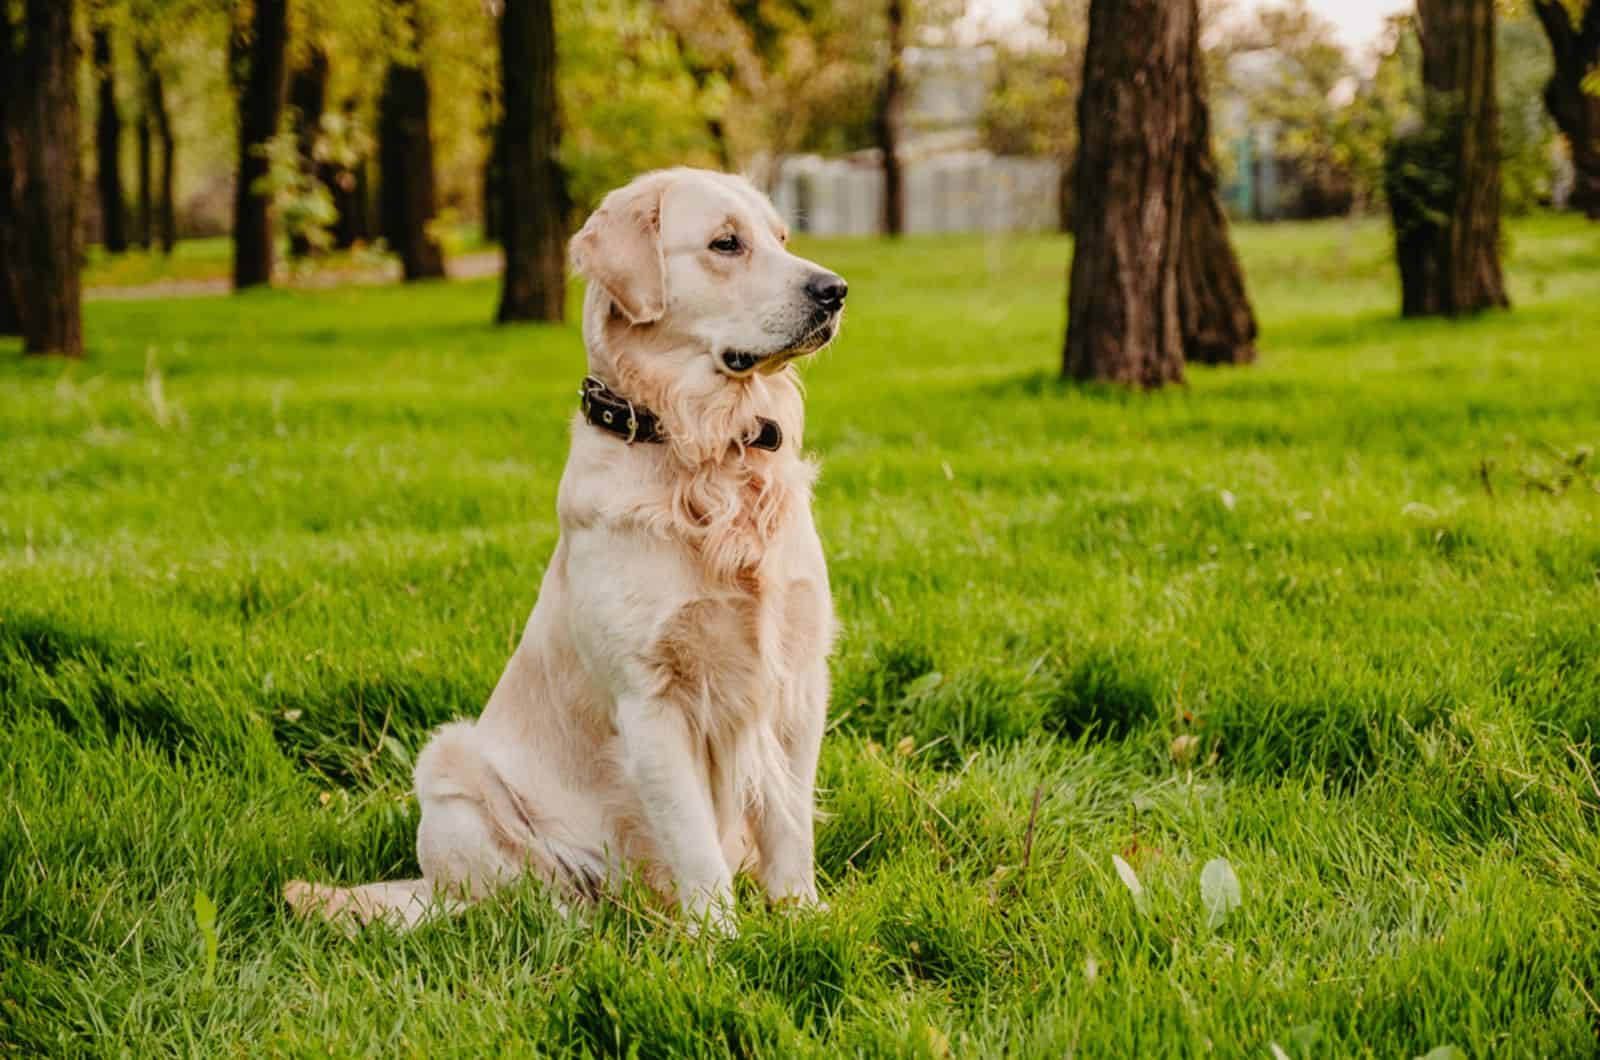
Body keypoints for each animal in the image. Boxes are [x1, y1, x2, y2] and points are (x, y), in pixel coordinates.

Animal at [284, 168, 851, 941]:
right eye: (725, 244)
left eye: (783, 237)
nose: (835, 289)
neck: (704, 450)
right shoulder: (651, 699)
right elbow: (695, 844)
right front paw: (721, 943)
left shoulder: (797, 676)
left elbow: (790, 822)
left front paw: (802, 919)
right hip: (450, 772)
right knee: (508, 902)